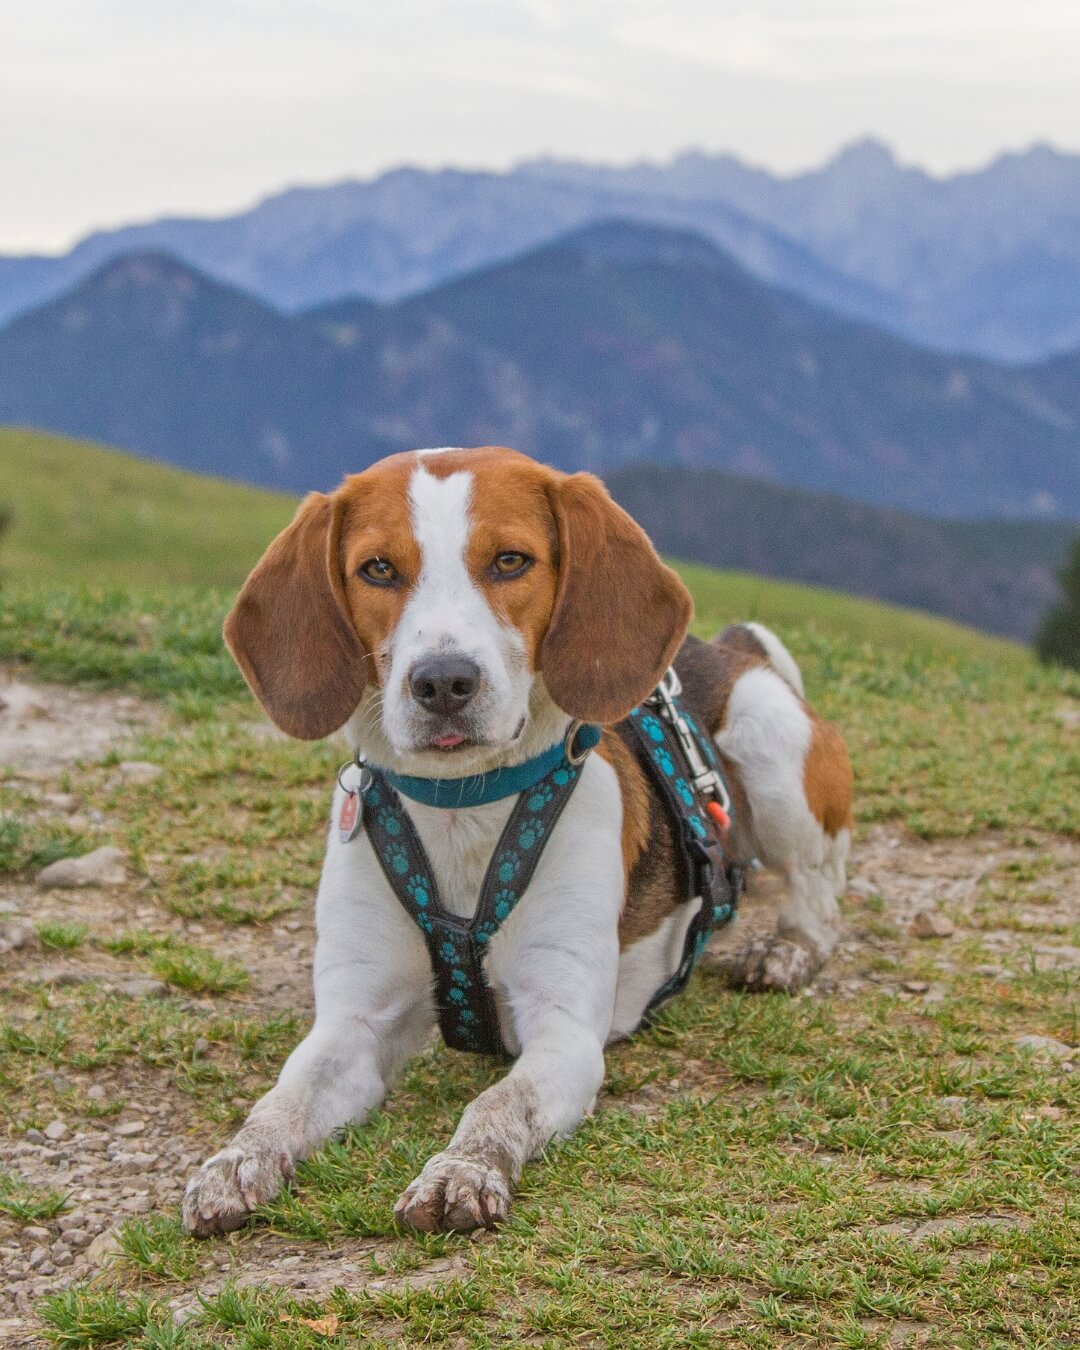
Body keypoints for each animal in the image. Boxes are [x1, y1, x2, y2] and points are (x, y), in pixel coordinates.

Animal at [179, 442, 853, 1236]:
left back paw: (786, 951)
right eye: (378, 568)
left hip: (772, 749)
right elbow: (281, 1099)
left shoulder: (563, 1033)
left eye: (509, 560)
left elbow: (497, 1104)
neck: (463, 807)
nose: (443, 681)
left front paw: (461, 1171)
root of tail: (722, 649)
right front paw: (236, 1160)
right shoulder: (352, 1020)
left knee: (819, 895)